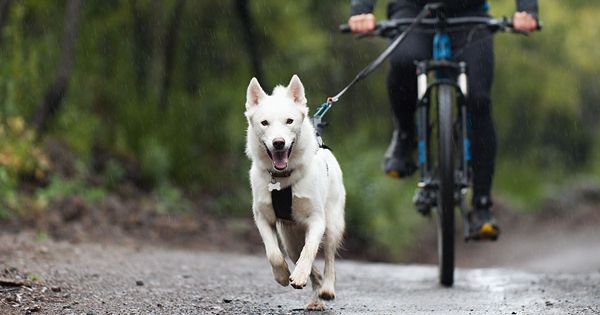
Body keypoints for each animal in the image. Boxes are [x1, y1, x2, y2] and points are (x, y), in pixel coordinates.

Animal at [245, 76, 346, 312]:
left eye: (289, 121)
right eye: (264, 123)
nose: (278, 143)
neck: (282, 178)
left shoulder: (317, 220)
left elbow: (309, 250)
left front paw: (299, 275)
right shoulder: (262, 217)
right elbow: (273, 254)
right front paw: (282, 275)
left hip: (332, 224)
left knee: (328, 258)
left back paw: (327, 288)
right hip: (290, 240)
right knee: (303, 260)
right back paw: (315, 297)